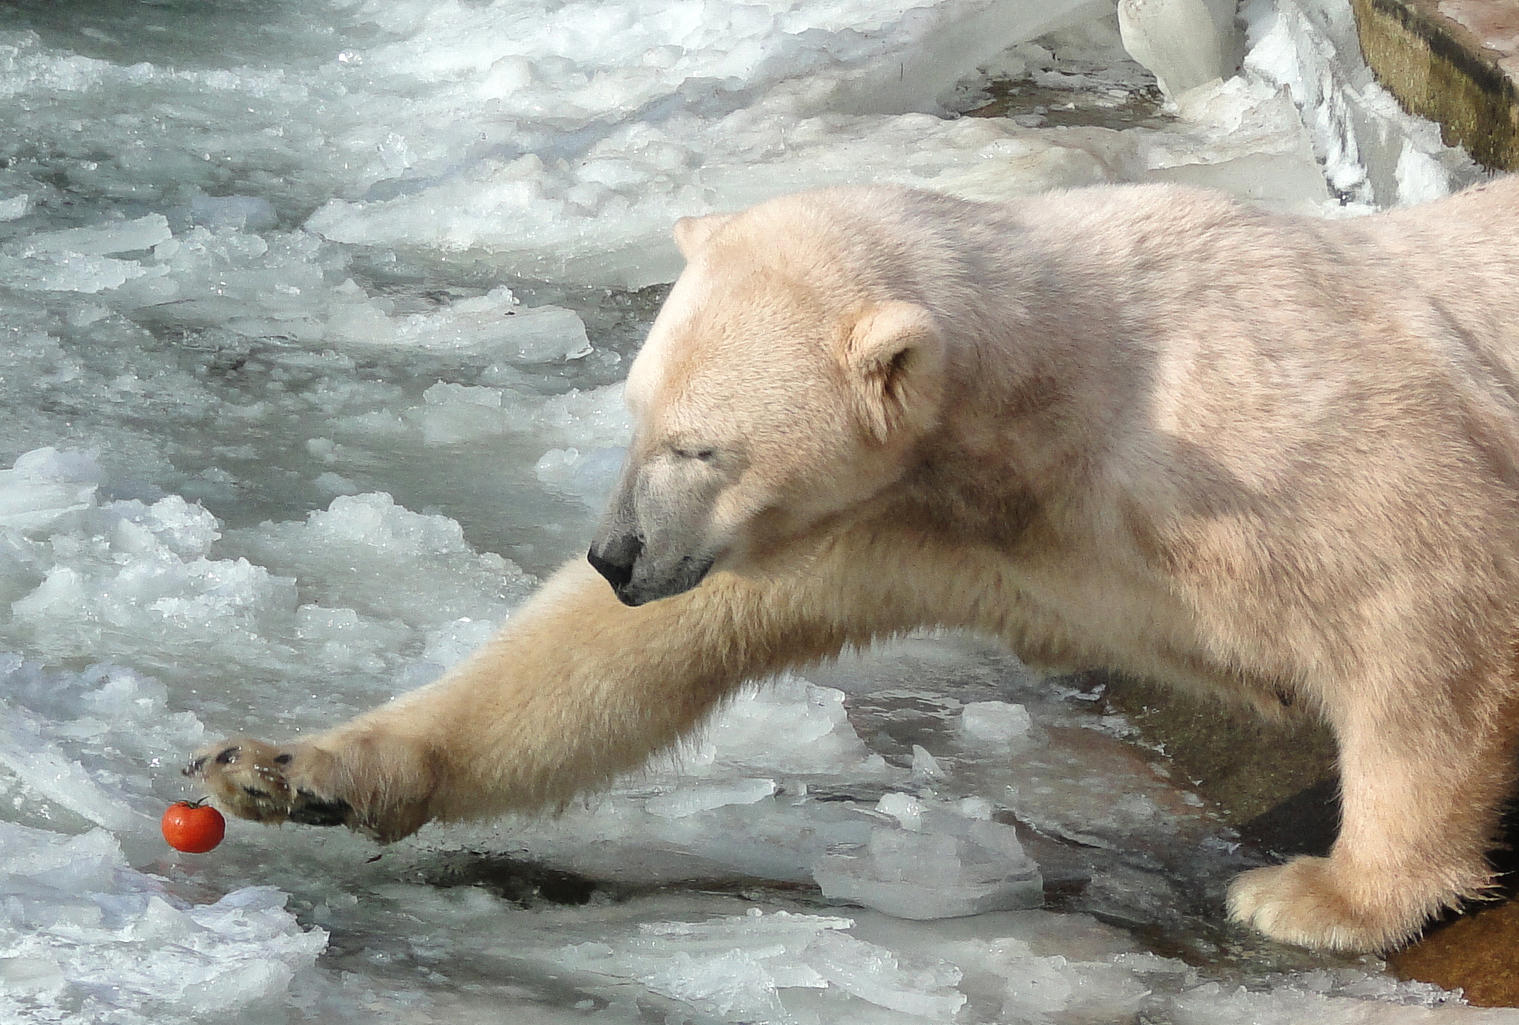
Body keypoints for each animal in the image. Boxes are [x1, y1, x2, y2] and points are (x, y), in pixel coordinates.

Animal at [186, 178, 1519, 953]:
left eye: (700, 442)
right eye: (634, 413)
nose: (616, 550)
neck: (1053, 410)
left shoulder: (1278, 444)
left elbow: (1431, 614)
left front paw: (1323, 895)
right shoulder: (895, 521)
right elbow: (613, 655)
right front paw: (285, 766)